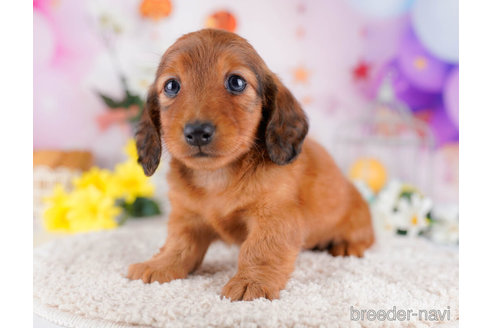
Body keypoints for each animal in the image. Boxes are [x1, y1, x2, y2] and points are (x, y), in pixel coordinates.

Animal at [127, 29, 372, 302]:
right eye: (171, 85)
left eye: (236, 82)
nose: (197, 132)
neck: (217, 178)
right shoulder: (186, 217)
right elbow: (178, 245)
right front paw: (160, 264)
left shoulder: (275, 217)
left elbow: (259, 249)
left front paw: (251, 281)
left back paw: (348, 245)